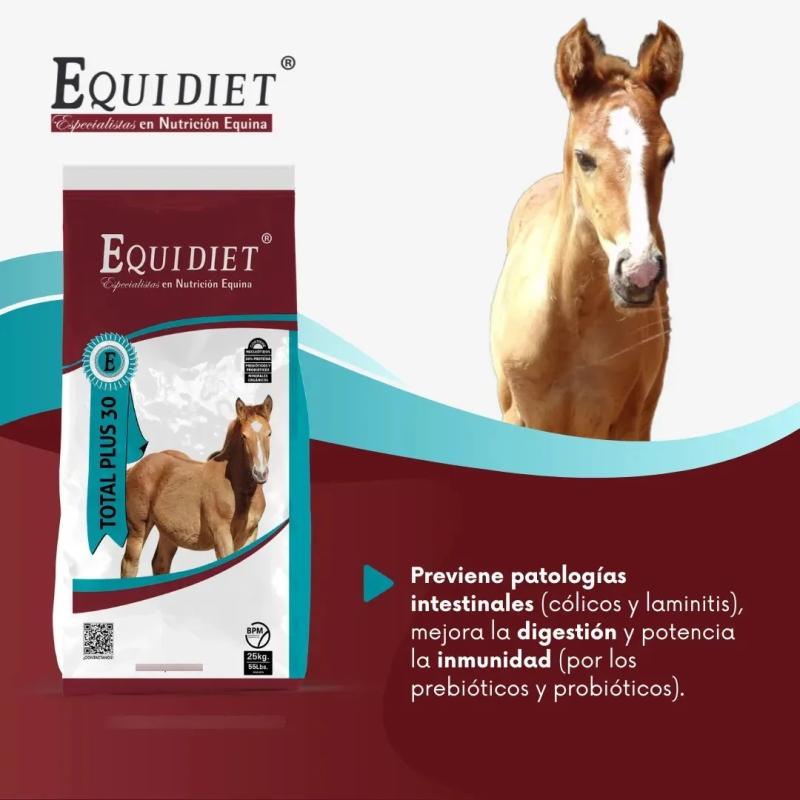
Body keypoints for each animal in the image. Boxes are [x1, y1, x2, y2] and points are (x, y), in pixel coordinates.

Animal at [121, 396, 273, 578]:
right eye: (244, 436)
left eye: (269, 433)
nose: (260, 473)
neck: (240, 492)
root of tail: (135, 467)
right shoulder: (221, 535)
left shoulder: (251, 534)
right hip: (138, 529)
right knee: (129, 564)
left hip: (170, 533)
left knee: (160, 563)